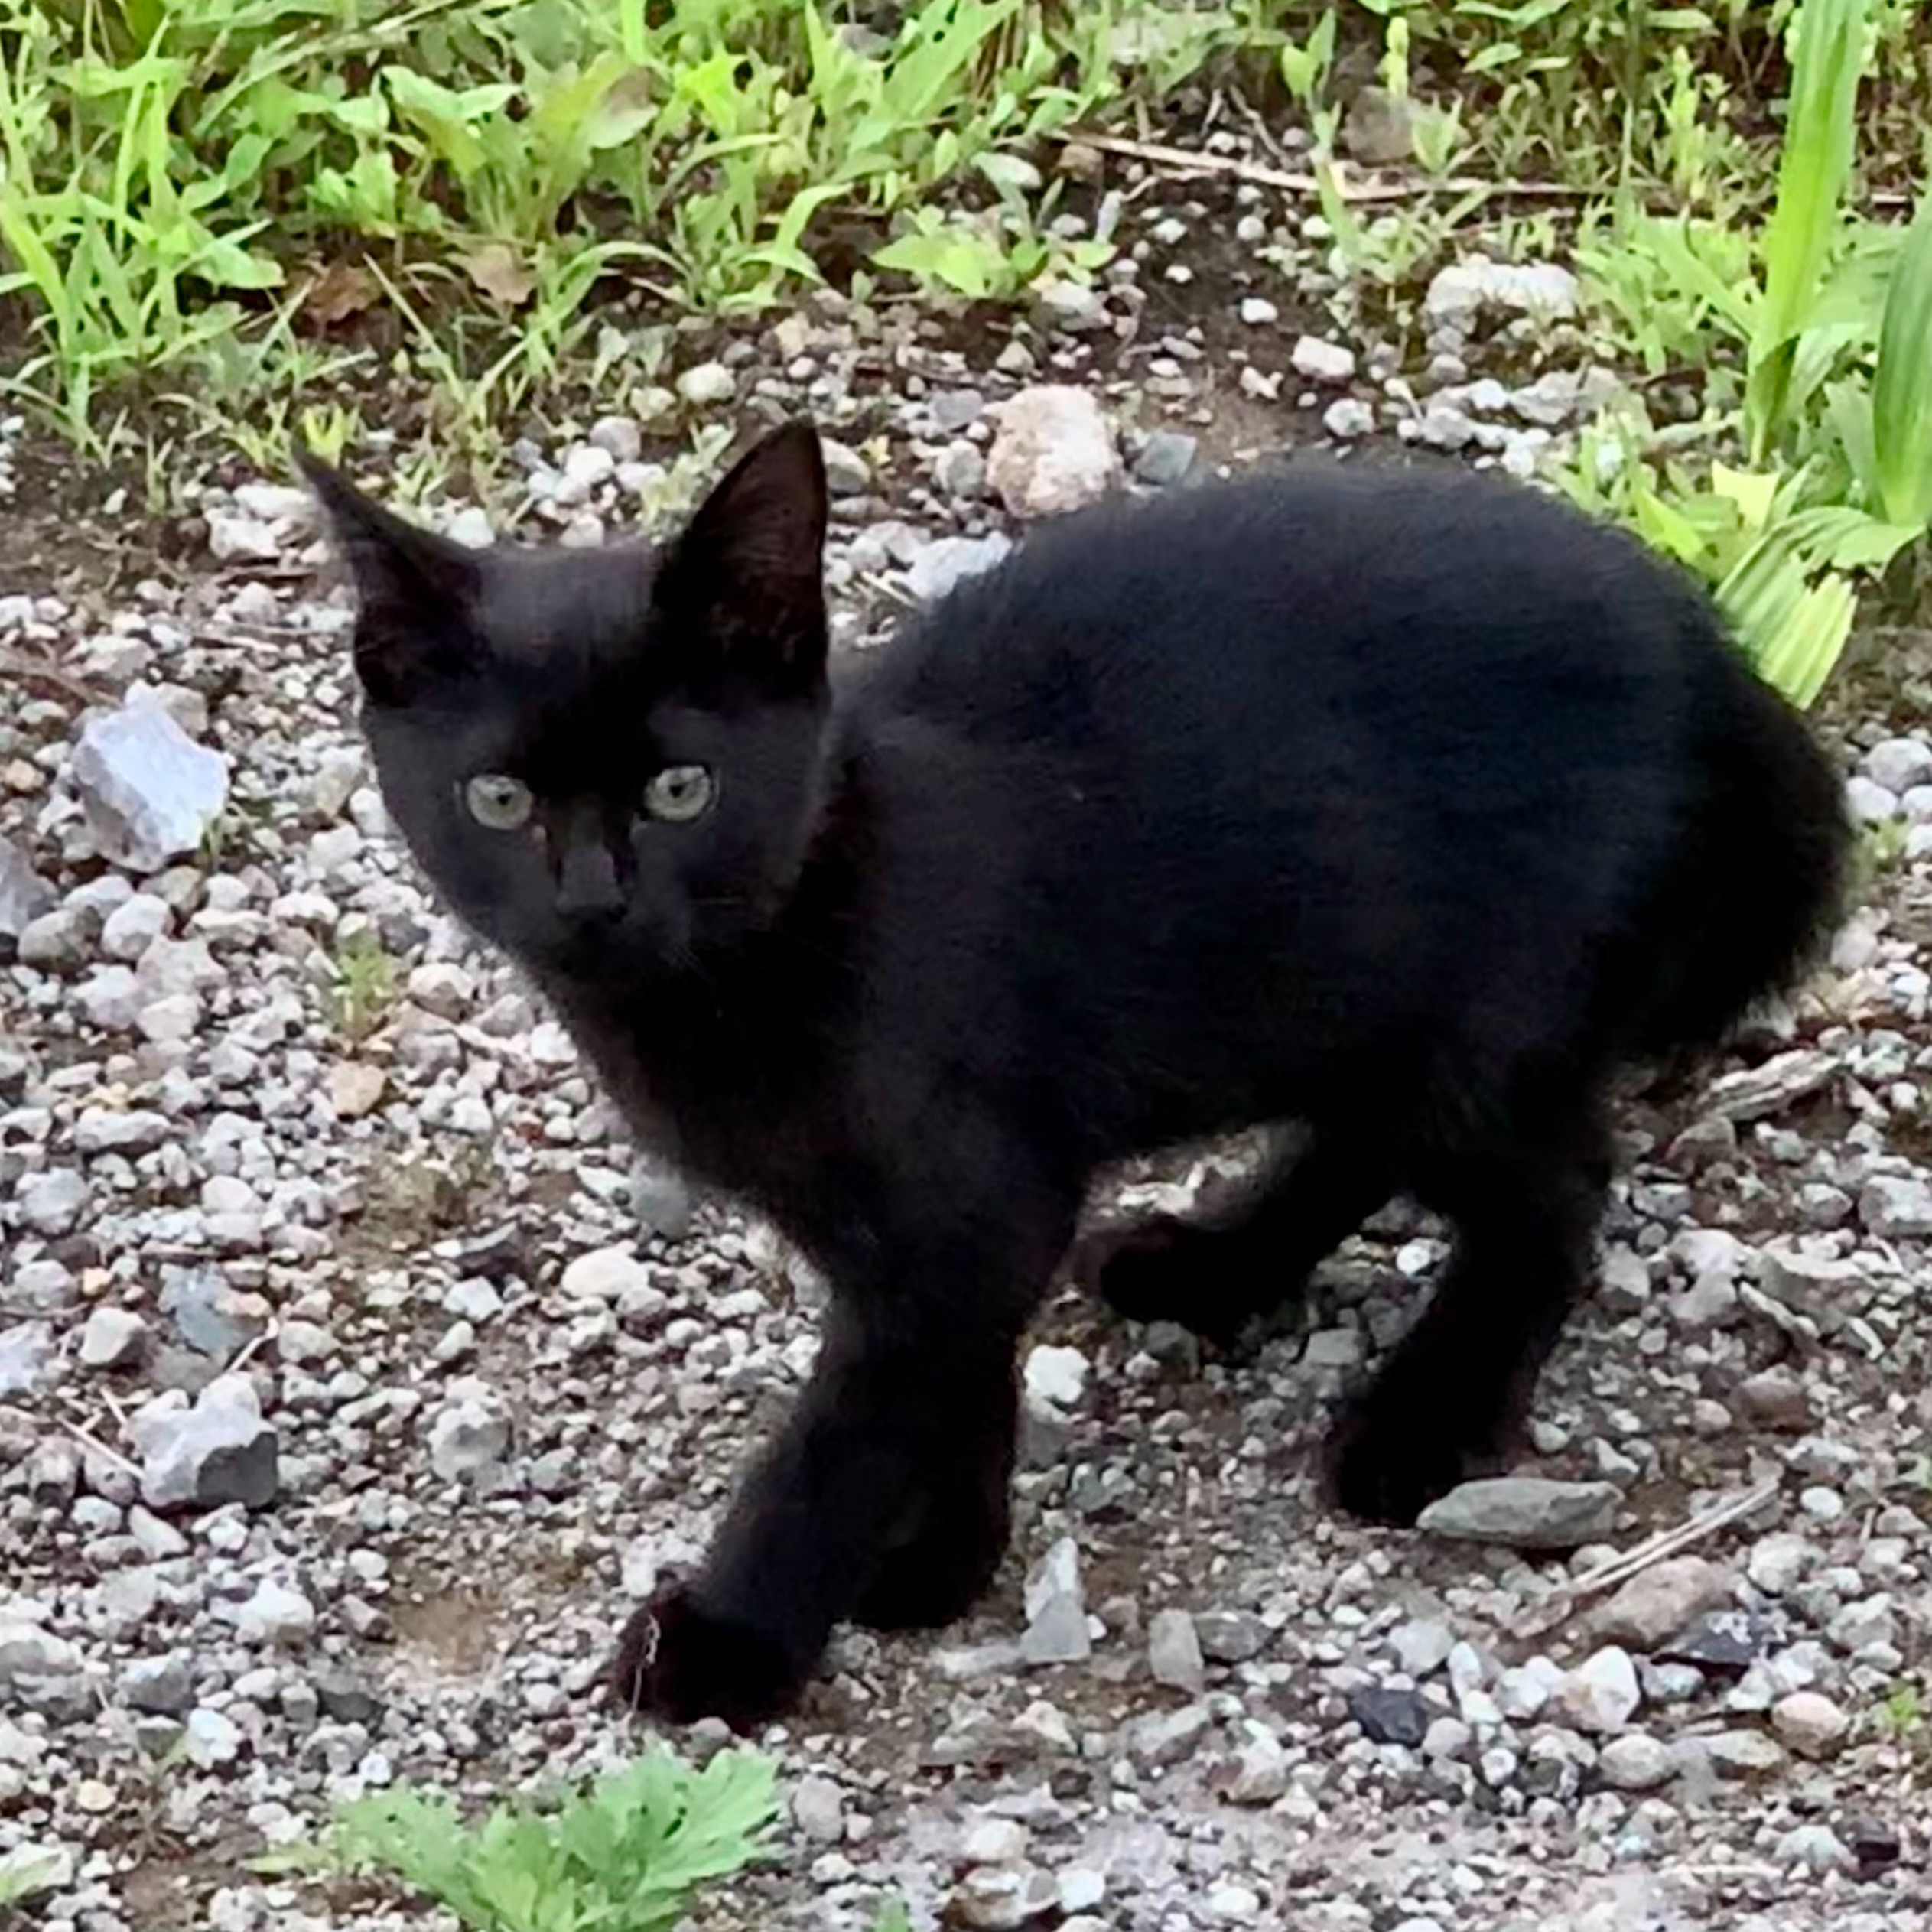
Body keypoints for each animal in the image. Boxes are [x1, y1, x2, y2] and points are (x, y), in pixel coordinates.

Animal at [301, 421, 1850, 1732]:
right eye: (500, 798)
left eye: (681, 789)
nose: (592, 902)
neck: (767, 949)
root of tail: (1715, 655)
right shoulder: (954, 1220)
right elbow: (953, 1370)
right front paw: (938, 1558)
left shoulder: (967, 1193)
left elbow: (844, 1432)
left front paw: (734, 1639)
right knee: (1375, 1134)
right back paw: (1216, 1264)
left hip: (1486, 1008)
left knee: (1550, 1191)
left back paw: (1421, 1424)